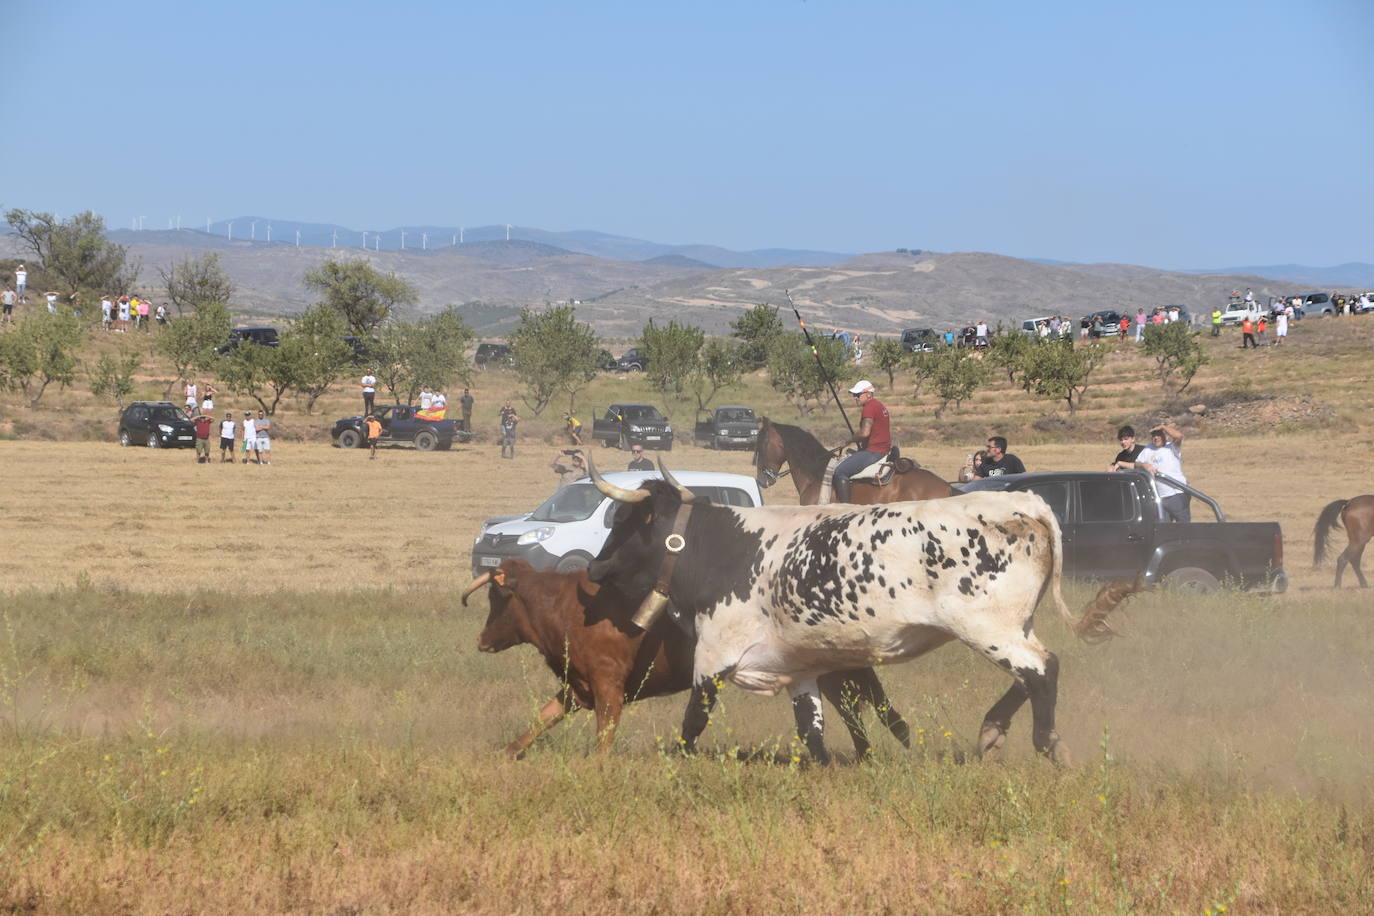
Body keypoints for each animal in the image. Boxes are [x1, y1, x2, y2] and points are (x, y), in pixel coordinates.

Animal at [461, 560, 912, 758]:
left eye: (496, 597)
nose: (481, 640)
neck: (565, 607)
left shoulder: (608, 687)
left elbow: (604, 737)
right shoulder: (578, 687)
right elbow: (542, 719)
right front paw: (507, 753)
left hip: (836, 674)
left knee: (860, 710)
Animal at [582, 458, 1126, 769]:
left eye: (624, 521)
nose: (593, 567)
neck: (725, 550)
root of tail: (1021, 501)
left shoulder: (715, 654)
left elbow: (694, 719)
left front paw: (677, 763)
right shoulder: (799, 666)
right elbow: (812, 731)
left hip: (987, 626)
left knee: (1041, 669)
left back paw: (1047, 743)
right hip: (1011, 625)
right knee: (1032, 671)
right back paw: (993, 731)